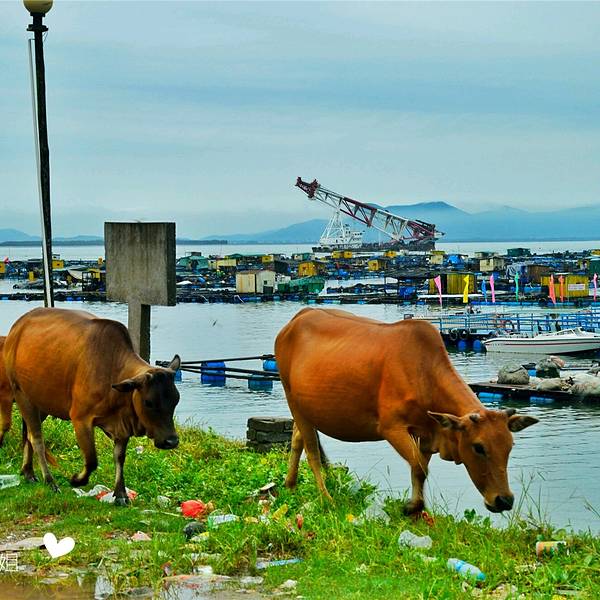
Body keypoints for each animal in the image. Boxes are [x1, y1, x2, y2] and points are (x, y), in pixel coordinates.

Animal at [3, 307, 181, 504]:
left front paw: (120, 494)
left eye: (176, 399)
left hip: (41, 403)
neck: (112, 370)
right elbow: (91, 460)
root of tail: (17, 326)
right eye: (148, 402)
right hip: (22, 394)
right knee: (36, 439)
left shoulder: (122, 427)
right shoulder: (80, 419)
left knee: (27, 434)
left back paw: (28, 472)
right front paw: (76, 480)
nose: (171, 441)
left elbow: (119, 457)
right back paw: (50, 481)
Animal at [275, 308, 538, 514]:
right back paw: (326, 498)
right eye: (478, 447)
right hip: (292, 400)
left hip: (304, 408)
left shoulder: (427, 433)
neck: (423, 373)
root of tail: (296, 320)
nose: (504, 500)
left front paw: (418, 508)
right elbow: (418, 466)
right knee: (312, 452)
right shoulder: (392, 428)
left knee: (297, 440)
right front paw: (411, 507)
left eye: (509, 446)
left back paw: (290, 484)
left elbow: (419, 471)